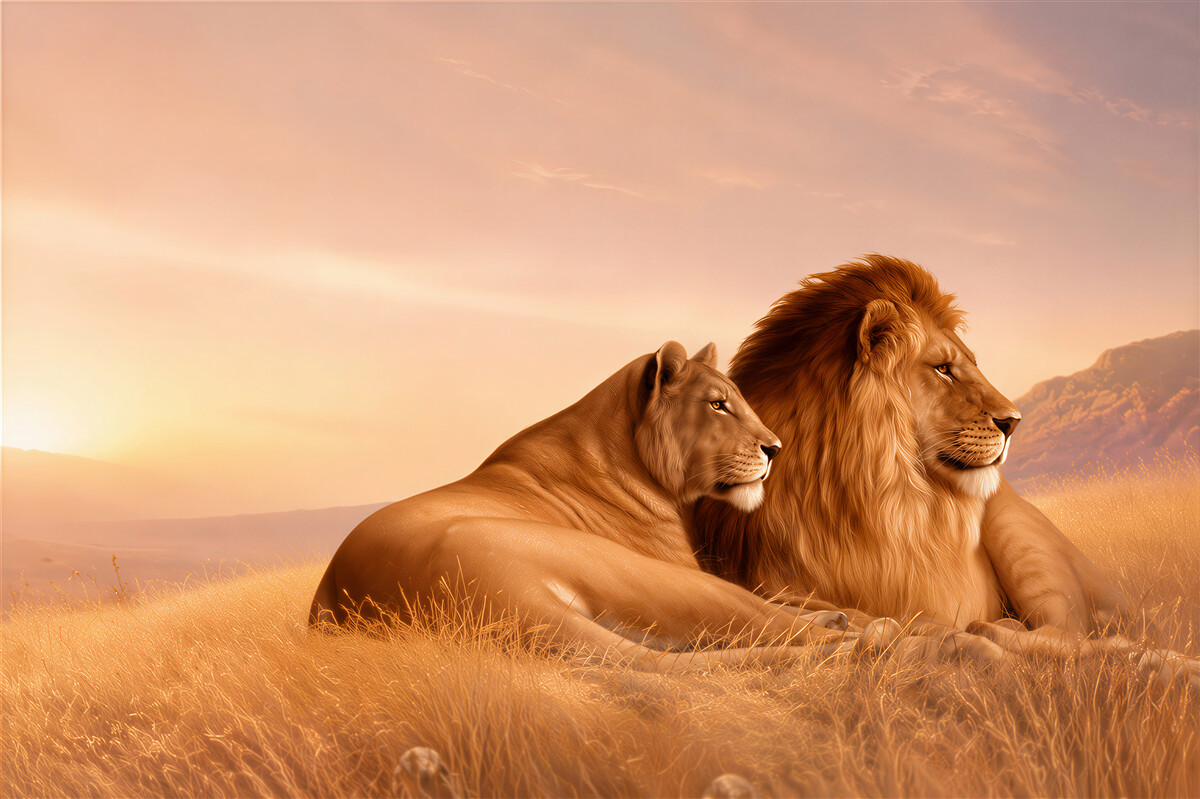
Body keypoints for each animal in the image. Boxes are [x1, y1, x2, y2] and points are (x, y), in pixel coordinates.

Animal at [310, 341, 851, 672]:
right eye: (718, 404)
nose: (775, 448)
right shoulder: (683, 566)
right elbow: (772, 599)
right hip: (636, 573)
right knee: (765, 625)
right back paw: (863, 636)